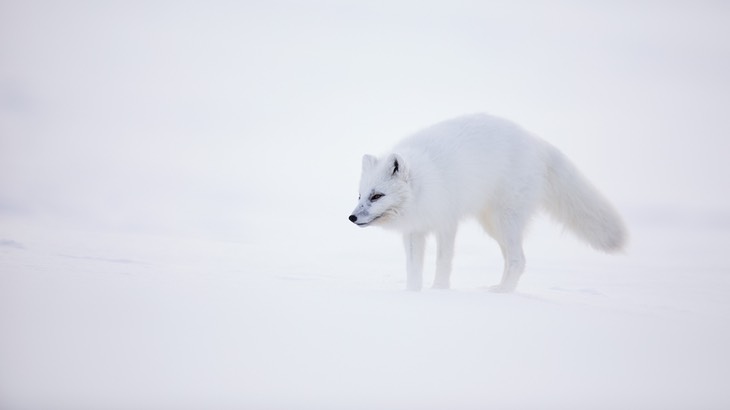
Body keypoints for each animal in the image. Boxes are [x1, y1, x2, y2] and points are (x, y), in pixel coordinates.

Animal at [348, 112, 624, 292]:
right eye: (360, 196)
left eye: (377, 196)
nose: (352, 217)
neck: (425, 185)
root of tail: (534, 140)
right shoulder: (415, 231)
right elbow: (413, 267)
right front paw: (412, 293)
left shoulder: (447, 223)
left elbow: (443, 261)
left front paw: (439, 290)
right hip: (494, 226)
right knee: (511, 259)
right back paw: (500, 288)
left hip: (505, 220)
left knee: (519, 259)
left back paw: (503, 293)